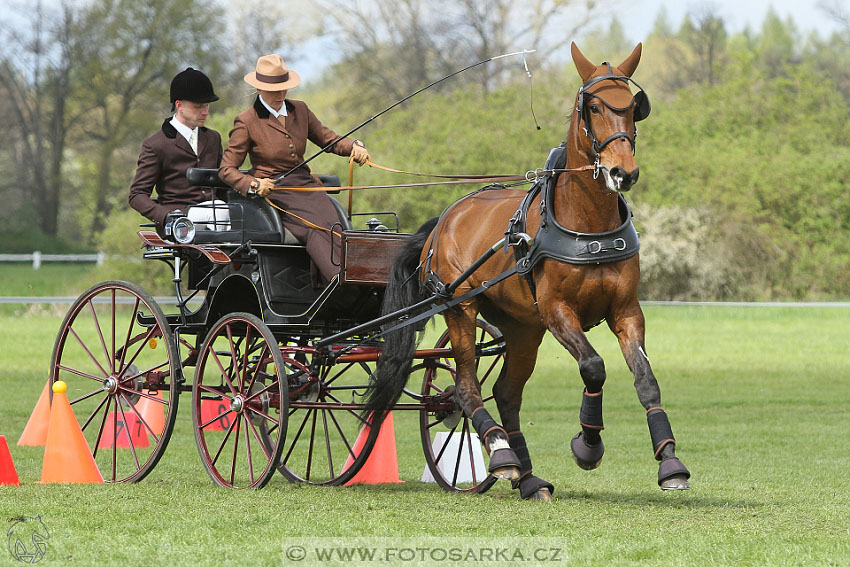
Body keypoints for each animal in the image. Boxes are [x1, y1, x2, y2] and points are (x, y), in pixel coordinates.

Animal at [366, 42, 688, 500]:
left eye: (633, 107)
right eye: (592, 106)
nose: (623, 172)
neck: (588, 224)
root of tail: (445, 219)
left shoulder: (626, 310)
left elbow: (646, 378)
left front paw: (670, 461)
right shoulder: (557, 310)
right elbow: (594, 367)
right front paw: (588, 445)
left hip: (522, 328)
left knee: (505, 392)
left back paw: (529, 476)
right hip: (461, 309)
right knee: (467, 387)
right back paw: (501, 454)